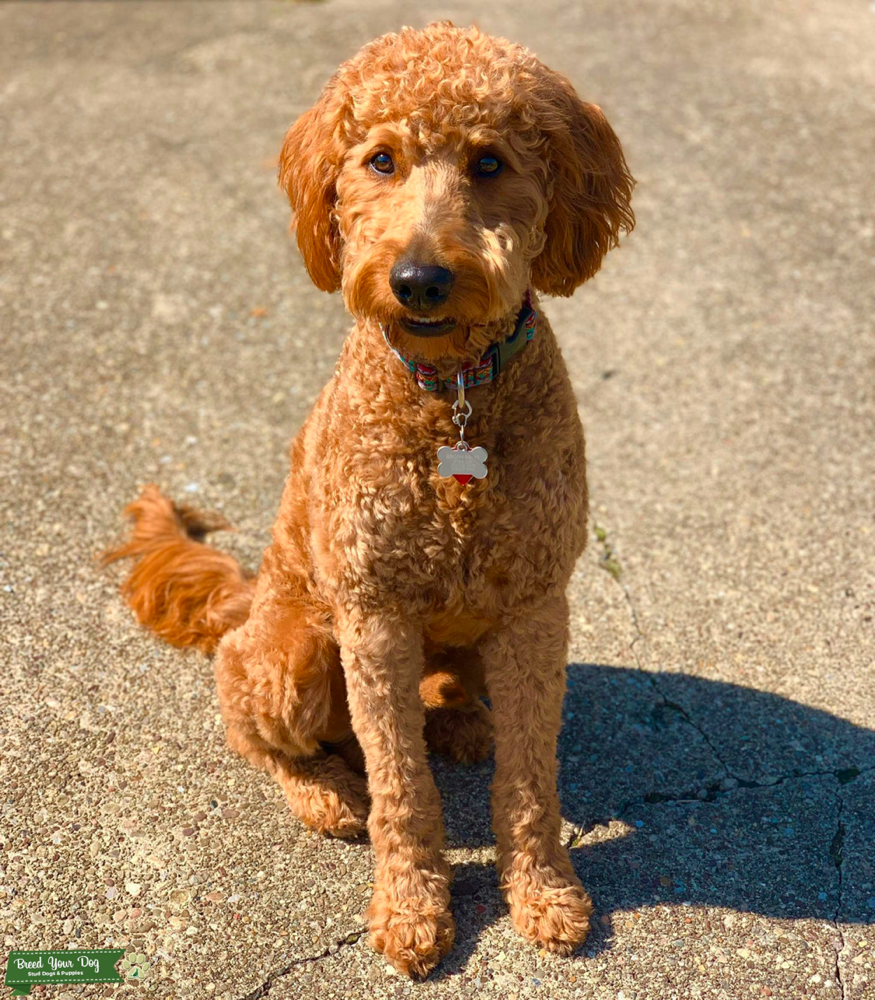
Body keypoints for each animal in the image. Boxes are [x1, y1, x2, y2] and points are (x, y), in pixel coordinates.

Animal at [106, 21, 632, 976]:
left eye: (490, 162)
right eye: (380, 160)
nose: (419, 278)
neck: (450, 391)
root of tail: (246, 599)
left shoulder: (536, 606)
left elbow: (530, 779)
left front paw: (543, 890)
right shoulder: (375, 615)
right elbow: (401, 786)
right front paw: (412, 907)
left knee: (445, 698)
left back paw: (460, 723)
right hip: (292, 652)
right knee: (266, 739)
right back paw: (326, 794)